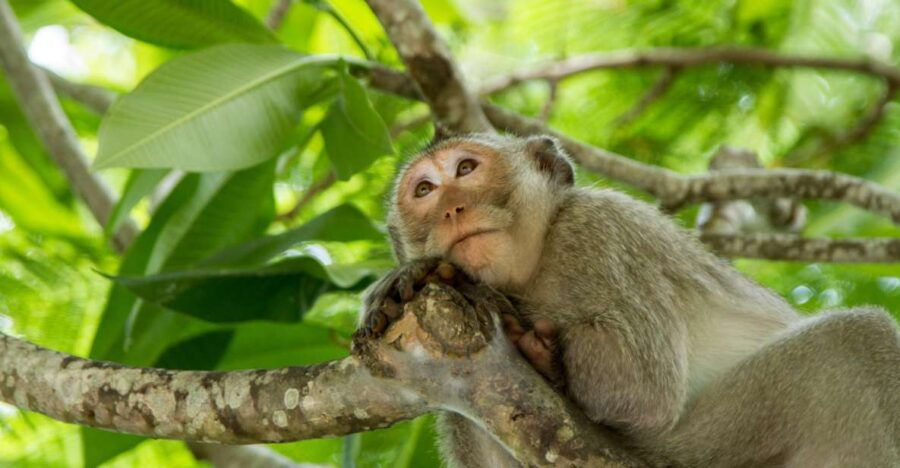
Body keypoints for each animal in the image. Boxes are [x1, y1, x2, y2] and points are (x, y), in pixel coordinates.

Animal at [357, 133, 900, 467]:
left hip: (702, 446)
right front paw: (416, 279)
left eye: (466, 168)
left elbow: (642, 388)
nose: (451, 207)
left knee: (851, 343)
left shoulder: (598, 232)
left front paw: (501, 312)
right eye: (424, 190)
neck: (534, 267)